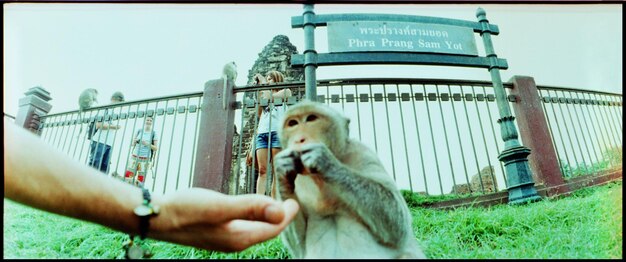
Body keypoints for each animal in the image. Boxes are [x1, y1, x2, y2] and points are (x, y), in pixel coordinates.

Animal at [272, 100, 424, 258]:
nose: (299, 140)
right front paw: (282, 172)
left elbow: (398, 226)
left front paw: (325, 161)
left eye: (311, 118)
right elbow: (299, 248)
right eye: (292, 123)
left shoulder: (363, 152)